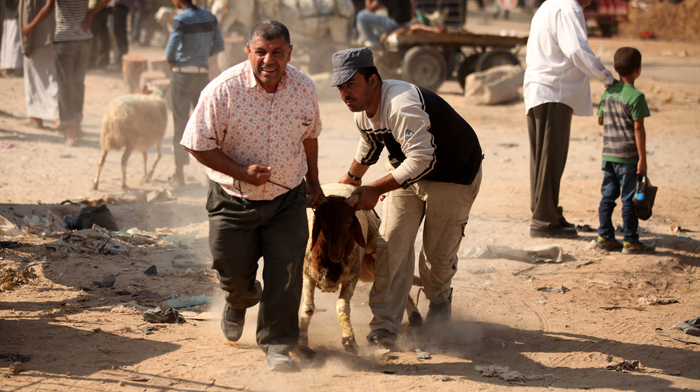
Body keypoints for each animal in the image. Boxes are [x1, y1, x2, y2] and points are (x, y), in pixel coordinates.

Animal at [300, 182, 424, 354]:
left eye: (349, 221)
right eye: (323, 221)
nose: (337, 253)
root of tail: (340, 183)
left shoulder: (351, 278)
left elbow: (342, 308)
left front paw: (349, 341)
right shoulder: (307, 276)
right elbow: (308, 309)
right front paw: (302, 343)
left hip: (375, 251)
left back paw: (415, 315)